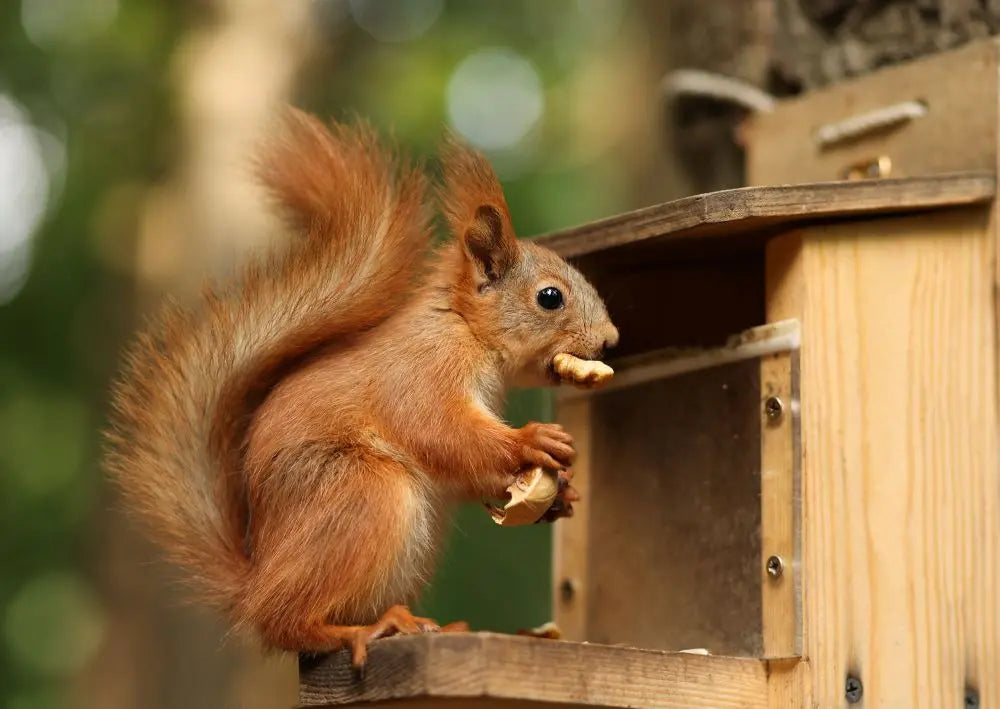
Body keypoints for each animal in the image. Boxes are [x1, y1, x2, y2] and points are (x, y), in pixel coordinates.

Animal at [103, 108, 616, 668]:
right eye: (550, 297)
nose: (610, 340)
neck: (463, 328)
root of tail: (255, 580)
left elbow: (467, 472)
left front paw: (562, 495)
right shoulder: (421, 373)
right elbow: (442, 432)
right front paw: (531, 441)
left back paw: (439, 626)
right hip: (361, 495)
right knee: (285, 621)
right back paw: (366, 629)